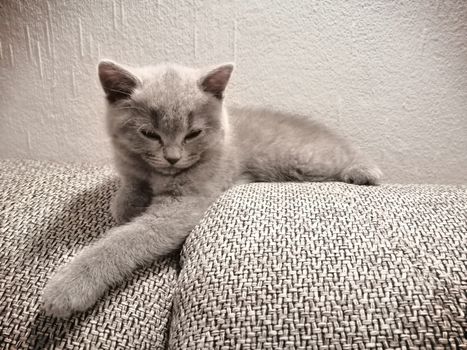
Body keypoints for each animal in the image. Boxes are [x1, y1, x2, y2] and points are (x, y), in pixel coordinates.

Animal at [41, 59, 384, 318]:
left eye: (193, 133)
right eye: (149, 133)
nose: (173, 157)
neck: (156, 175)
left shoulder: (184, 204)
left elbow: (124, 240)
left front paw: (68, 288)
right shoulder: (131, 167)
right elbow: (124, 197)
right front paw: (129, 202)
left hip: (303, 159)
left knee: (344, 155)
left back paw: (365, 172)